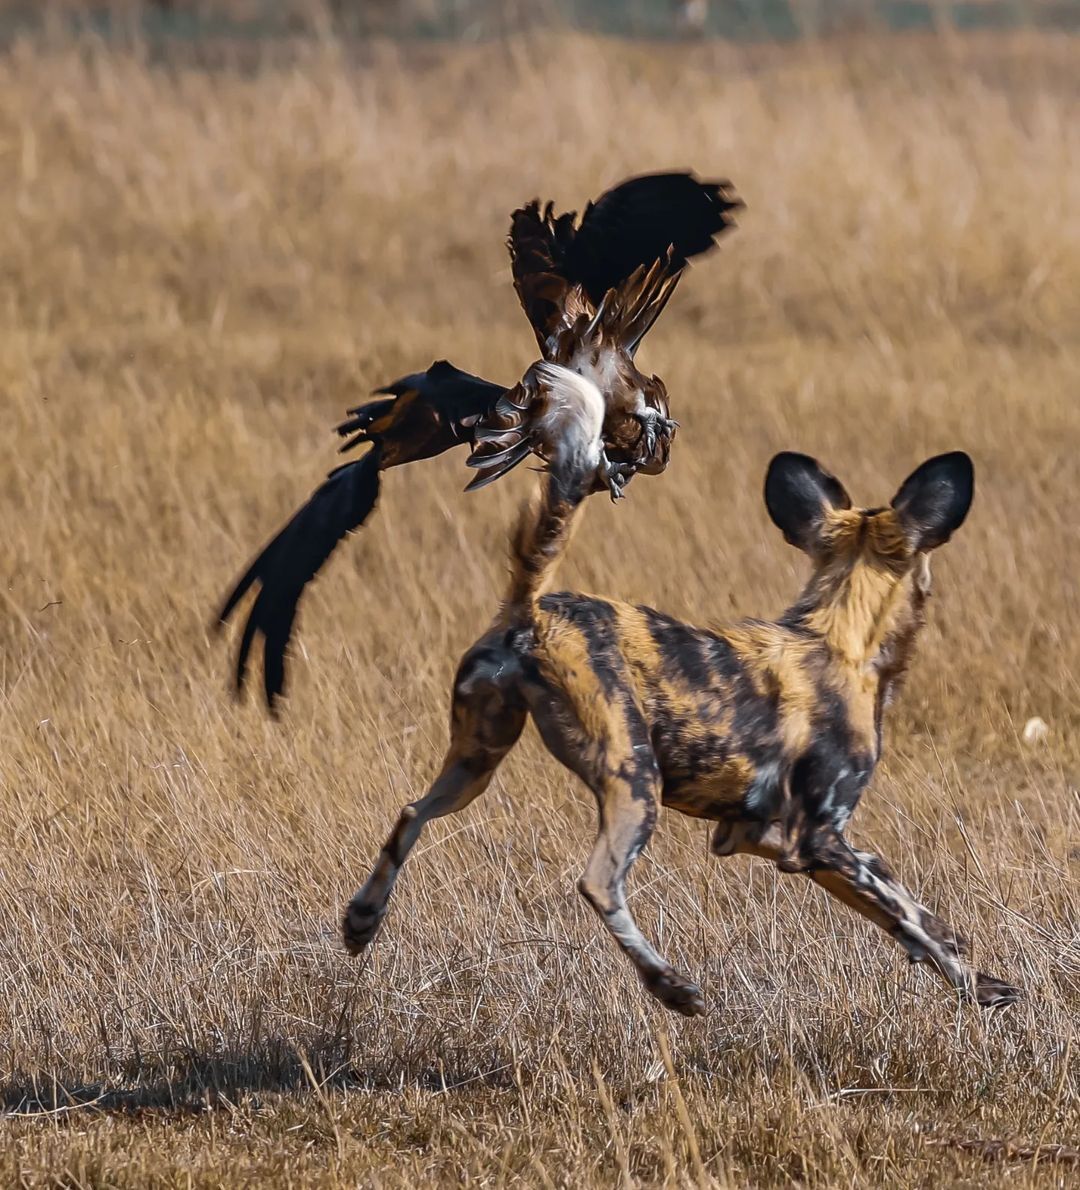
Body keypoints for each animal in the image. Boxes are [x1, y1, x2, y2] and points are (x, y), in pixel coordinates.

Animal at [342, 368, 1018, 1013]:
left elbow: (908, 909)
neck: (839, 635)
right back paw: (672, 987)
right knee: (597, 882)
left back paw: (361, 921)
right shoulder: (816, 838)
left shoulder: (761, 836)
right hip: (634, 779)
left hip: (475, 762)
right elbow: (908, 917)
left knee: (411, 813)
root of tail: (531, 610)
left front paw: (976, 977)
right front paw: (972, 984)